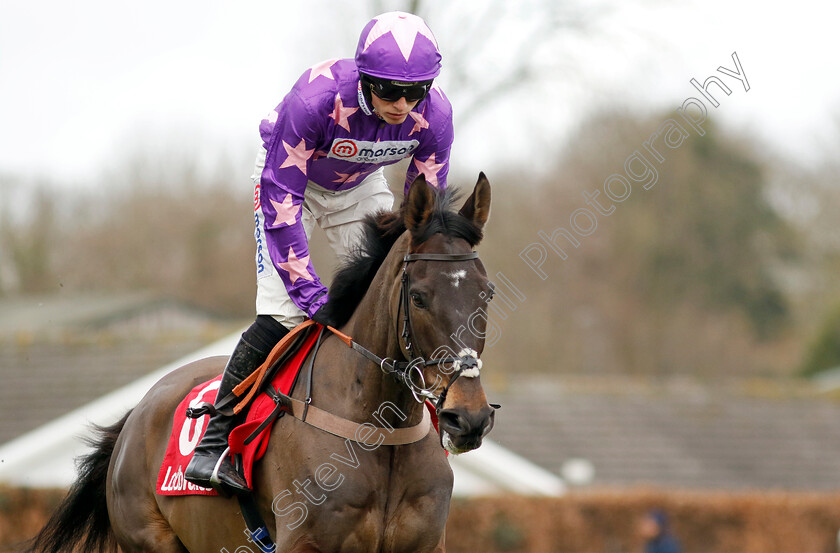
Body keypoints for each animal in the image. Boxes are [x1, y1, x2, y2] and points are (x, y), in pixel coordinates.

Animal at [29, 172, 496, 552]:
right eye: (418, 297)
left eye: (487, 293)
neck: (380, 432)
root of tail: (137, 412)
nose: (469, 417)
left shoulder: (426, 544)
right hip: (148, 539)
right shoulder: (304, 544)